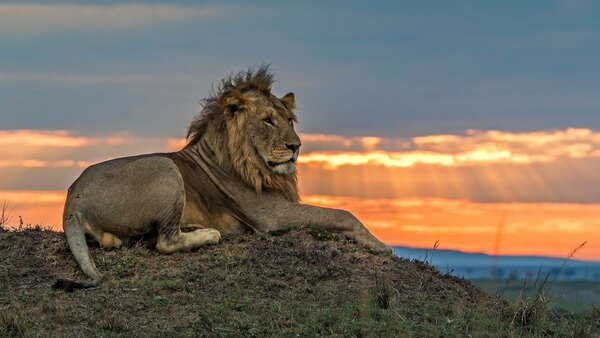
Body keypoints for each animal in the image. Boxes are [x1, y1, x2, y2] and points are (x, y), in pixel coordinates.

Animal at [56, 66, 392, 290]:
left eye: (289, 120)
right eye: (268, 120)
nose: (296, 146)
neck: (253, 164)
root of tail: (72, 203)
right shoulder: (271, 216)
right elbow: (343, 213)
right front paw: (379, 244)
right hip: (165, 168)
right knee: (165, 242)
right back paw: (209, 233)